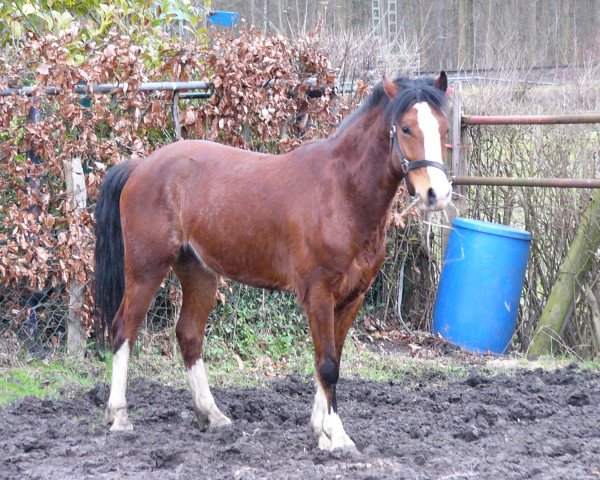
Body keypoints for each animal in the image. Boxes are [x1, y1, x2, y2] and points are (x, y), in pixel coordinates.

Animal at [94, 72, 450, 454]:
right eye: (406, 128)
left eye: (443, 127)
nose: (437, 194)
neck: (342, 193)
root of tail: (140, 167)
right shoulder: (318, 295)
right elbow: (327, 365)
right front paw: (336, 436)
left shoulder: (352, 298)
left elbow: (332, 359)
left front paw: (321, 430)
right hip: (146, 269)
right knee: (123, 330)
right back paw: (120, 417)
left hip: (198, 272)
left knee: (189, 335)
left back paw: (212, 415)